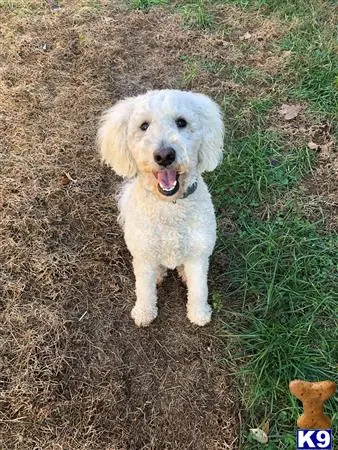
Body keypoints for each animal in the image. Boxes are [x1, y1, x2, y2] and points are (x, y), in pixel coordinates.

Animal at [97, 89, 224, 326]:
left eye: (181, 122)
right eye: (144, 126)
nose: (165, 155)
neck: (169, 206)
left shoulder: (199, 255)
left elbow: (199, 288)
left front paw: (199, 313)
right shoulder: (144, 256)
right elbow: (144, 289)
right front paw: (144, 312)